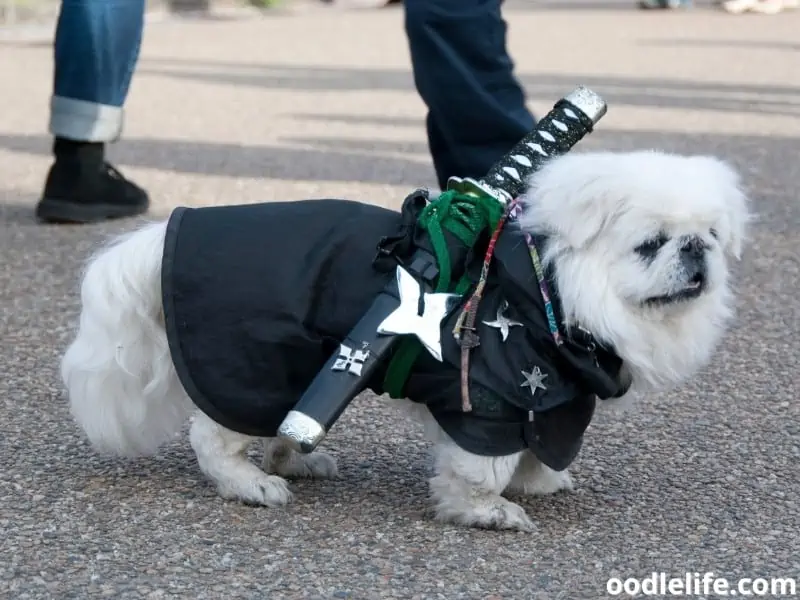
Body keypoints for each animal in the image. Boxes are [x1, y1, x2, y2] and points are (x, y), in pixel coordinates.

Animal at [61, 150, 752, 528]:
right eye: (651, 244)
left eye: (713, 236)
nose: (695, 251)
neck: (549, 290)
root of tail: (169, 232)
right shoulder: (494, 398)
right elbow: (481, 469)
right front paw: (486, 513)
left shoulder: (555, 401)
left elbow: (543, 452)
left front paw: (538, 482)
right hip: (259, 366)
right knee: (214, 437)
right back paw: (250, 484)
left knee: (287, 430)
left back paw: (297, 459)